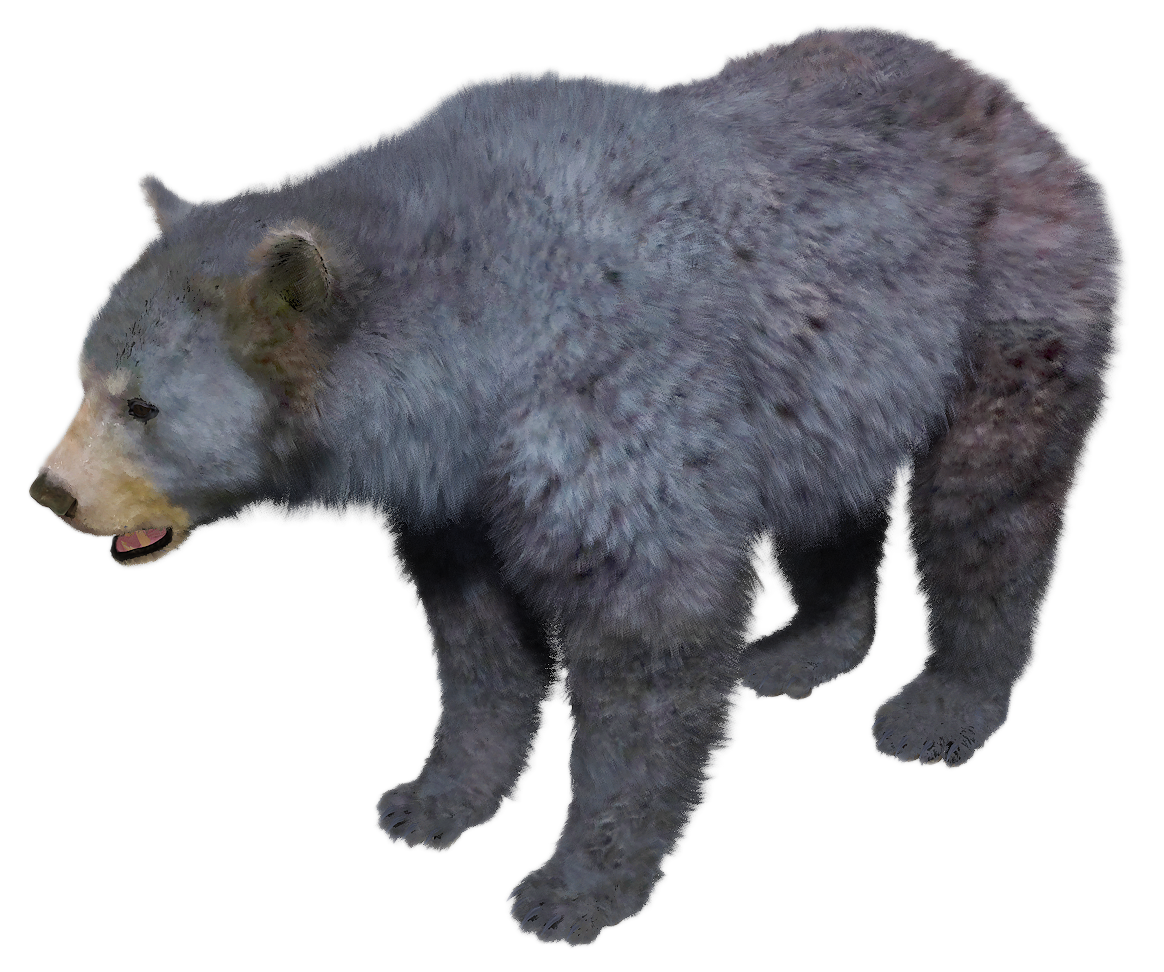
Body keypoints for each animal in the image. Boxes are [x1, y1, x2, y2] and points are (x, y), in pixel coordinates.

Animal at [27, 23, 1128, 948]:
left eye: (142, 406)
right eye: (82, 376)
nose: (52, 492)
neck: (472, 340)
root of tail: (1010, 99)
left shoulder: (603, 392)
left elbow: (645, 635)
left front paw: (571, 888)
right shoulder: (455, 484)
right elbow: (473, 635)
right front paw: (430, 798)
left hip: (1010, 287)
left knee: (988, 496)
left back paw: (941, 707)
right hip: (833, 374)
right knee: (831, 491)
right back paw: (803, 647)